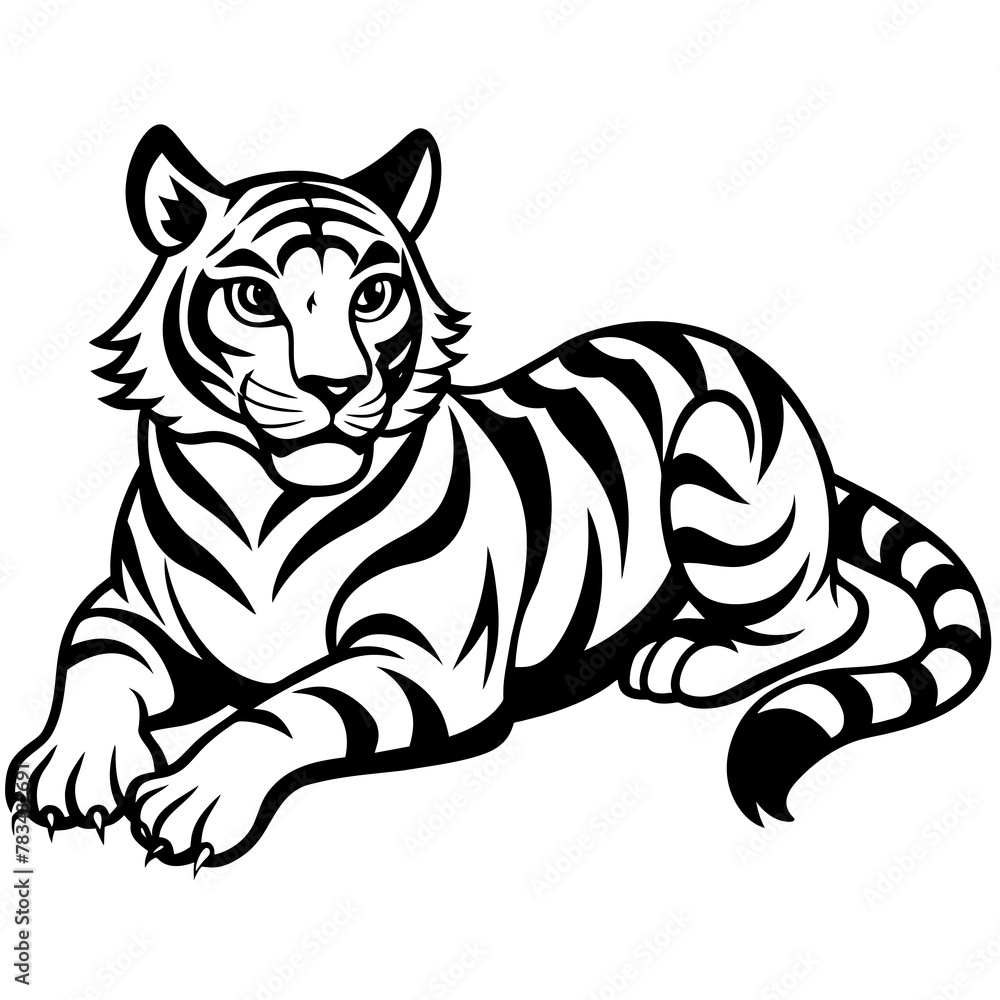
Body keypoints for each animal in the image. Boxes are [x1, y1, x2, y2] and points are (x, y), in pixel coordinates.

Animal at [6, 125, 990, 871]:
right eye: (254, 298)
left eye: (374, 294)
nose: (336, 387)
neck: (264, 503)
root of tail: (740, 356)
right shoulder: (133, 610)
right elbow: (92, 662)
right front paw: (65, 765)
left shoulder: (426, 659)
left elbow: (291, 706)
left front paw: (196, 790)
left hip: (725, 498)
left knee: (833, 611)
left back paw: (690, 659)